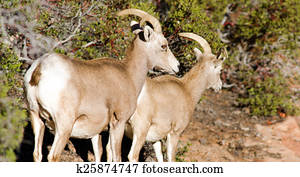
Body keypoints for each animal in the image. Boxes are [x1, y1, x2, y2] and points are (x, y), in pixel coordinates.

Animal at [24, 9, 178, 162]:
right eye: (163, 46)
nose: (177, 66)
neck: (128, 73)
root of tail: (39, 69)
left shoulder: (97, 132)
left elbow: (101, 152)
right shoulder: (118, 122)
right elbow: (117, 157)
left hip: (37, 118)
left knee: (37, 154)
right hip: (63, 126)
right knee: (53, 156)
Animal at [120, 32, 226, 161]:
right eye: (220, 69)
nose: (219, 86)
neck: (186, 89)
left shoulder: (155, 139)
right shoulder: (175, 133)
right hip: (140, 130)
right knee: (132, 155)